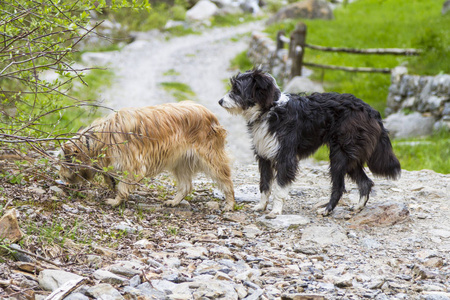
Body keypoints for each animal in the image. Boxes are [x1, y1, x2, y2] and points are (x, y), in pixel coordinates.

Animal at [57, 102, 236, 210]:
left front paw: (116, 200)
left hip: (211, 157)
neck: (100, 139)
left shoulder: (134, 165)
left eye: (65, 162)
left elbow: (123, 185)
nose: (61, 176)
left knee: (226, 180)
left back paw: (230, 203)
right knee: (186, 186)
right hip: (180, 162)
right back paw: (174, 201)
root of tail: (209, 113)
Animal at [219, 69, 400, 216]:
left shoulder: (286, 157)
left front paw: (276, 210)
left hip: (340, 156)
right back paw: (358, 207)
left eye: (237, 90)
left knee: (339, 187)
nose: (220, 101)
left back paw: (327, 209)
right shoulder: (264, 156)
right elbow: (264, 185)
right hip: (351, 157)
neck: (269, 110)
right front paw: (261, 206)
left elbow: (279, 187)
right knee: (365, 182)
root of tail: (370, 110)